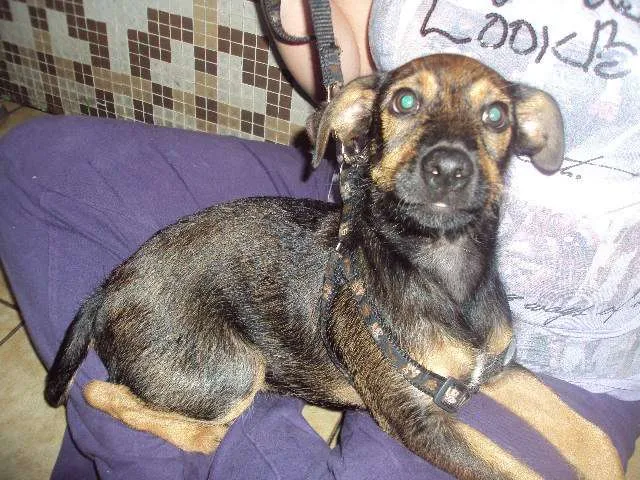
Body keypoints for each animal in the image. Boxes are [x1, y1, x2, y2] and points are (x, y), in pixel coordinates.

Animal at [45, 54, 623, 480]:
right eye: (404, 101)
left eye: (497, 115)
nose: (448, 166)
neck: (443, 272)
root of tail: (110, 287)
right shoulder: (418, 418)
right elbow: (515, 471)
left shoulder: (498, 371)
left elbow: (597, 442)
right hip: (232, 368)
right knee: (114, 397)